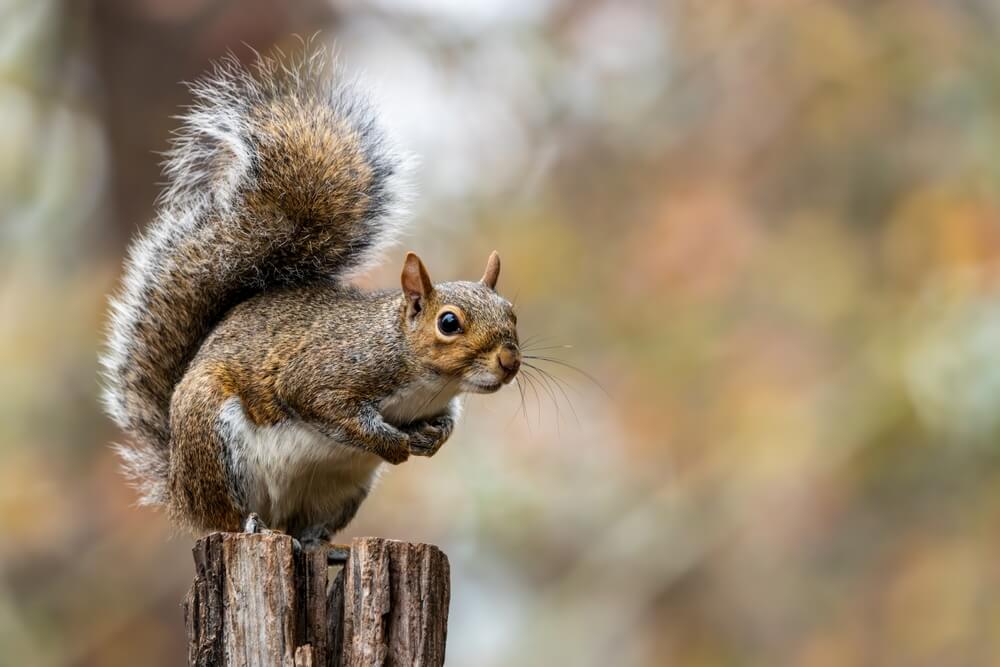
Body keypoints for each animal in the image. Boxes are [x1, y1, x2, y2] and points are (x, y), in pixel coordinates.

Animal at [101, 49, 521, 544]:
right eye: (449, 322)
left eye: (512, 313)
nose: (510, 361)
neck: (424, 376)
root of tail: (178, 487)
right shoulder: (327, 370)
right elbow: (321, 402)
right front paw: (393, 443)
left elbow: (447, 424)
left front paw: (434, 438)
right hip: (213, 439)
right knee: (225, 515)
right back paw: (248, 523)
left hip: (339, 491)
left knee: (304, 527)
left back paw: (318, 542)